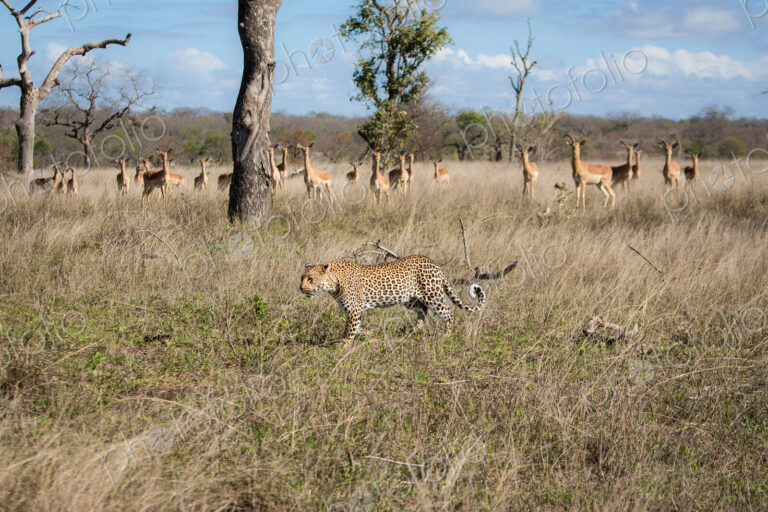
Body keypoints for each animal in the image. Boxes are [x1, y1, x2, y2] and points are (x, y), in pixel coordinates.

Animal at [300, 255, 486, 346]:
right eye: (302, 278)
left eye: (310, 279)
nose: (301, 288)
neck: (333, 283)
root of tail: (434, 263)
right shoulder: (356, 311)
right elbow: (357, 327)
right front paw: (366, 334)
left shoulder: (353, 310)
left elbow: (349, 329)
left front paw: (342, 344)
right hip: (409, 299)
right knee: (423, 310)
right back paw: (412, 331)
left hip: (432, 295)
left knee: (449, 312)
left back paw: (446, 335)